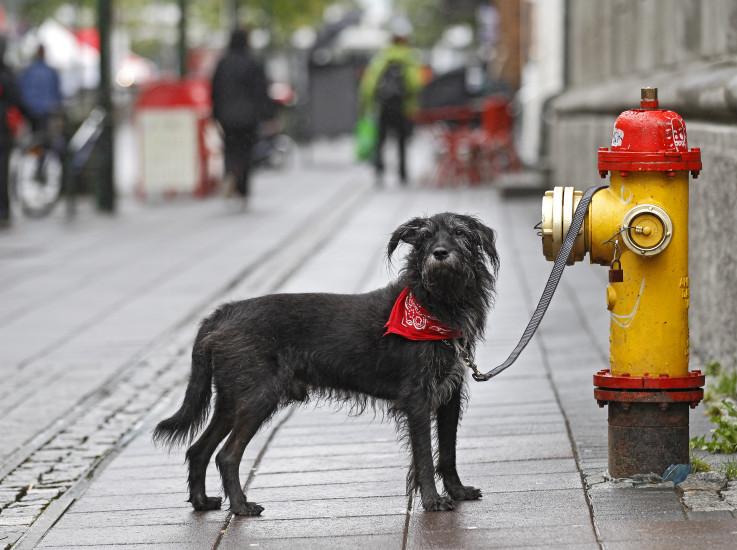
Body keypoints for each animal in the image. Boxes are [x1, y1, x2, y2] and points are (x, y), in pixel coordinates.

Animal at [155, 212, 500, 516]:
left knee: (198, 449)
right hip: (257, 399)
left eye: (460, 233)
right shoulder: (417, 398)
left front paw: (457, 491)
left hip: (231, 401)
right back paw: (241, 507)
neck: (436, 302)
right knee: (227, 455)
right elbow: (425, 455)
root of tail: (223, 312)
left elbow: (448, 451)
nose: (440, 253)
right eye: (426, 236)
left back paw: (201, 501)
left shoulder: (449, 395)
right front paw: (432, 500)